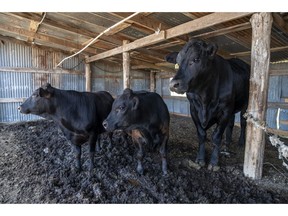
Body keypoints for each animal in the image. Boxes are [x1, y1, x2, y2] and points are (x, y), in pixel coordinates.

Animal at [166, 38, 250, 170]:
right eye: (177, 63)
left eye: (196, 59)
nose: (173, 84)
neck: (205, 98)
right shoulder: (194, 109)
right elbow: (201, 135)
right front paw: (200, 159)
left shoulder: (225, 110)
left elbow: (216, 136)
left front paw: (214, 162)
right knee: (231, 124)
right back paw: (227, 145)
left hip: (245, 104)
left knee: (242, 122)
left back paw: (241, 142)